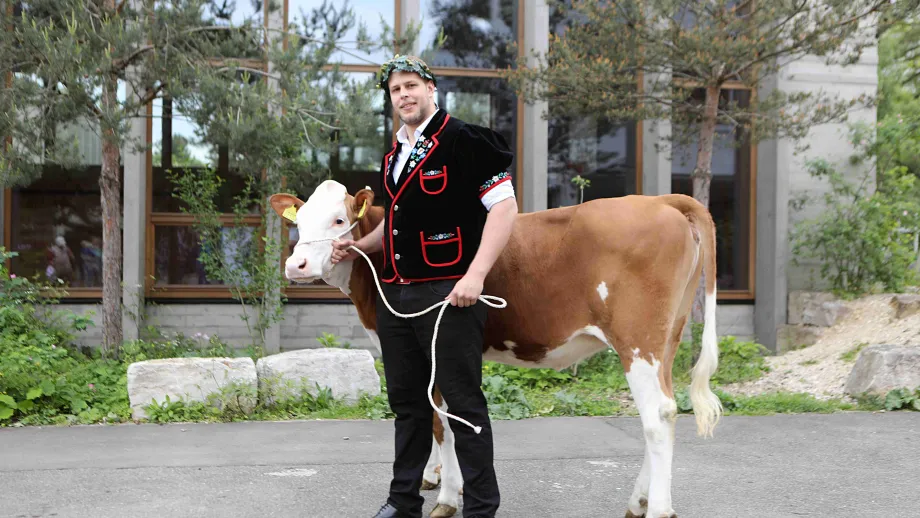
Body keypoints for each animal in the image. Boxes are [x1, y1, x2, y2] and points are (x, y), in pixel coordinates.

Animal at [271, 179, 722, 518]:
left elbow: (442, 422)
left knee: (657, 415)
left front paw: (448, 496)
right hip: (668, 337)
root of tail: (658, 200)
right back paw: (639, 501)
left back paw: (657, 509)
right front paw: (436, 477)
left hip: (638, 339)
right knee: (664, 410)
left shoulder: (430, 344)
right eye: (299, 222)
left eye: (339, 219)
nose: (296, 266)